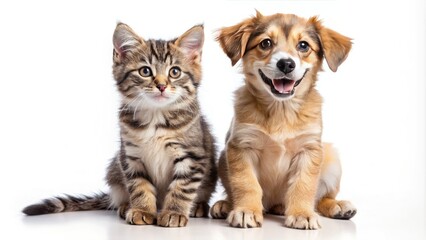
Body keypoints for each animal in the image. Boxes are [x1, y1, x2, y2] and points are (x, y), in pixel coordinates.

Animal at [21, 23, 218, 228]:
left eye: (175, 72)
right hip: (114, 170)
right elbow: (139, 185)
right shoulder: (131, 155)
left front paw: (174, 212)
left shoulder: (192, 156)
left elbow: (182, 187)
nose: (162, 86)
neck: (156, 116)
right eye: (145, 71)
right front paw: (142, 210)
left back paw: (197, 206)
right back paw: (126, 206)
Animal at [211, 12, 356, 230]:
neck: (281, 110)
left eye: (303, 45)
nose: (286, 64)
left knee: (321, 198)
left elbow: (304, 185)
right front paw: (246, 210)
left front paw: (302, 214)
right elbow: (246, 184)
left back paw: (338, 206)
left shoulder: (309, 149)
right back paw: (226, 205)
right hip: (222, 159)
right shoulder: (241, 146)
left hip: (332, 159)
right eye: (266, 43)